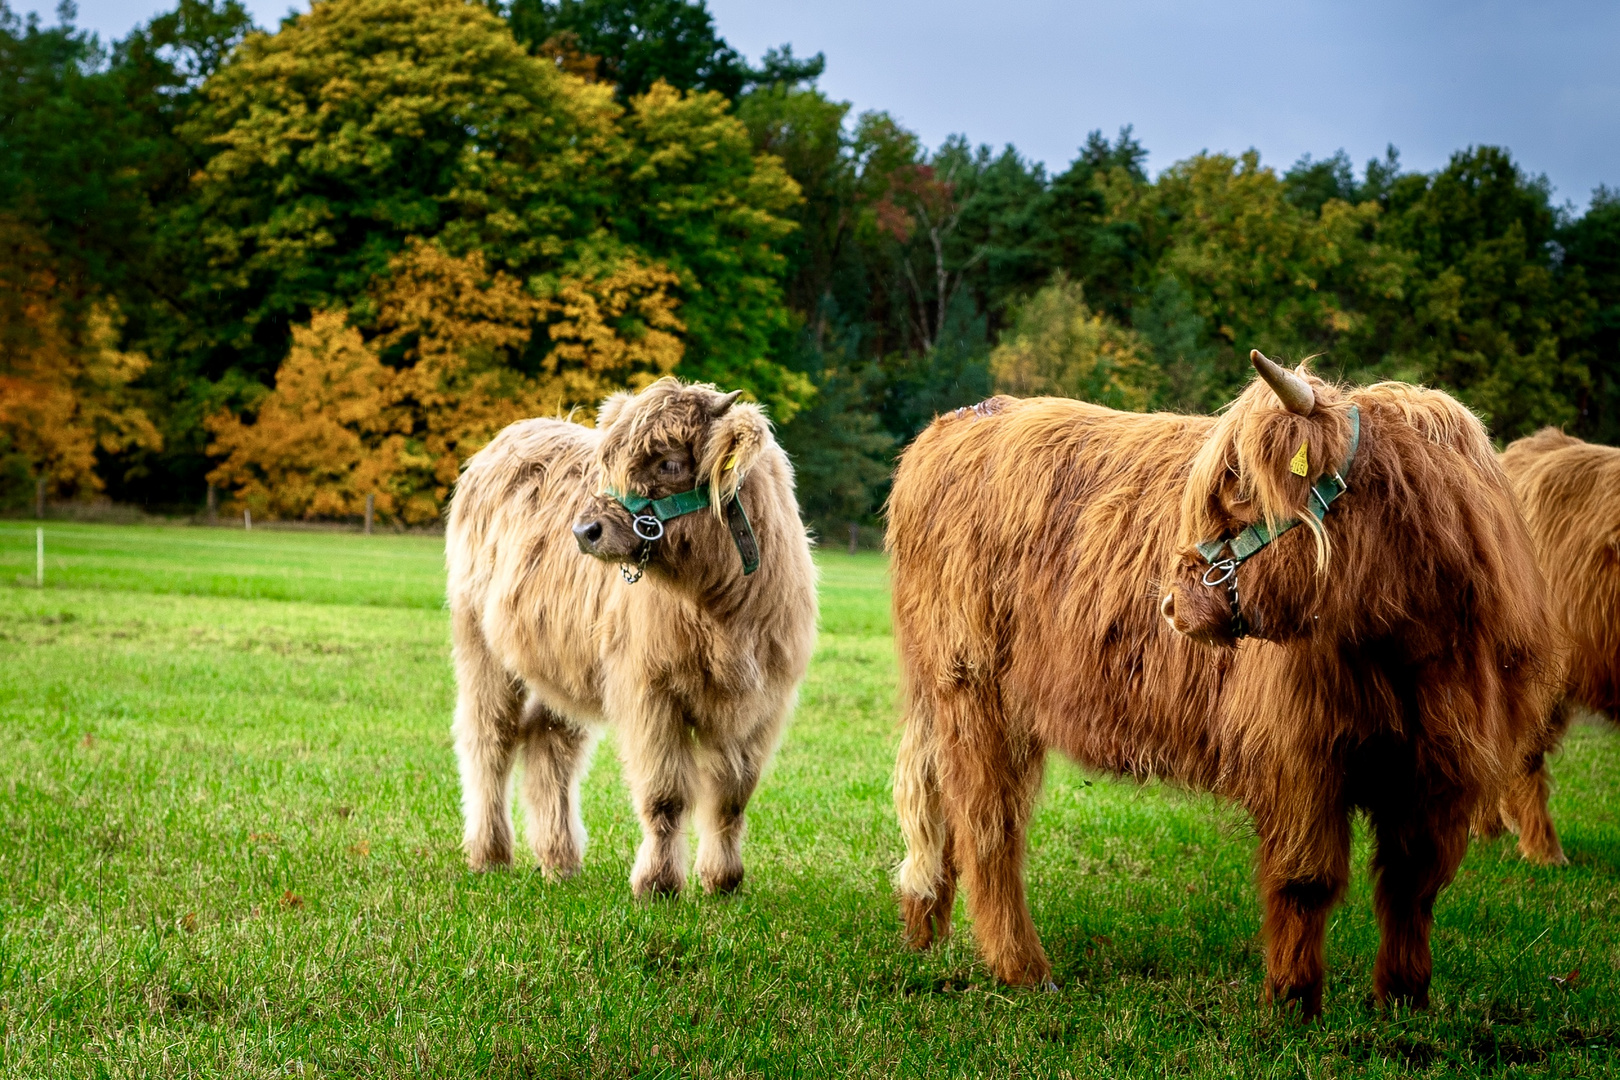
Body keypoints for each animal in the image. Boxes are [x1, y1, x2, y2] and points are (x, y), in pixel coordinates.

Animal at [443, 378, 816, 893]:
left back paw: (559, 860)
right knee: (488, 741)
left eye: (670, 463)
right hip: (480, 644)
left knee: (548, 746)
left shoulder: (762, 701)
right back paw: (491, 854)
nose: (585, 530)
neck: (721, 611)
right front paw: (658, 884)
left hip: (561, 663)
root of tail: (513, 433)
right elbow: (666, 794)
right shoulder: (649, 690)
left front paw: (723, 881)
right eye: (610, 464)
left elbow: (731, 795)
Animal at [894, 351, 1561, 1016]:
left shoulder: (1447, 765)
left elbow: (1413, 883)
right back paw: (1023, 968)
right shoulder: (1300, 757)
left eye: (1238, 487)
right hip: (973, 689)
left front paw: (1403, 996)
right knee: (988, 827)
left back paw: (926, 929)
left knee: (941, 807)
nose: (1169, 602)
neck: (1407, 638)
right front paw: (1292, 1000)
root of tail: (959, 420)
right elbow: (1307, 878)